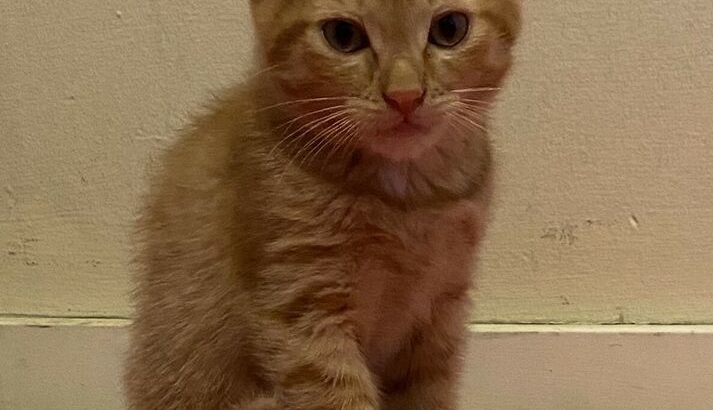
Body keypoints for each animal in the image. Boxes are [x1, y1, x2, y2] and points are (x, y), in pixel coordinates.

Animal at [125, 0, 520, 410]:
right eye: (343, 36)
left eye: (450, 28)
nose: (406, 96)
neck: (407, 199)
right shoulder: (303, 311)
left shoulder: (442, 310)